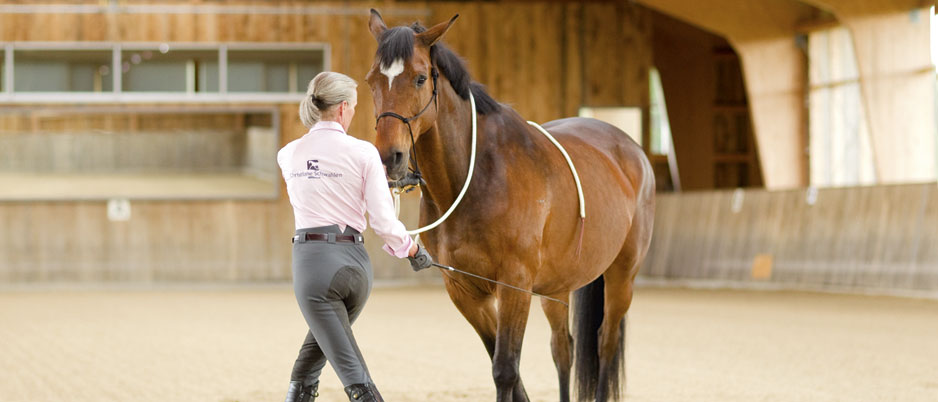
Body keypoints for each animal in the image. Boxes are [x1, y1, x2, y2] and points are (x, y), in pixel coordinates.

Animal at [362, 9, 656, 402]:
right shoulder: (464, 290)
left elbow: (505, 370)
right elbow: (507, 370)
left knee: (605, 343)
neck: (475, 176)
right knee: (563, 349)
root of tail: (631, 149)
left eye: (420, 78)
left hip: (622, 276)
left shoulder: (515, 284)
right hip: (556, 286)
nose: (388, 157)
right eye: (371, 81)